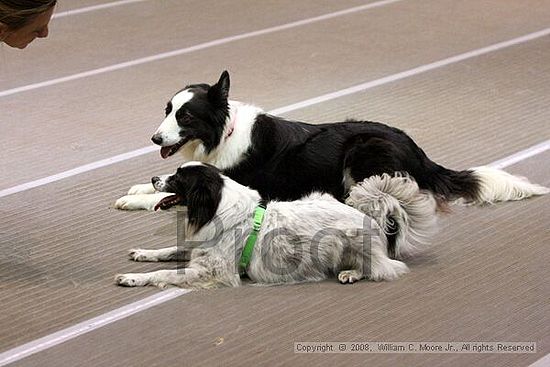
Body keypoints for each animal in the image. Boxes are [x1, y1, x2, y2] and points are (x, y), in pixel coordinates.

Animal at [114, 71, 548, 213]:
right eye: (167, 109)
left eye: (185, 116)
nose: (154, 137)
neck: (225, 133)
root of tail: (419, 151)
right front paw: (138, 187)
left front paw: (136, 199)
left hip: (363, 146)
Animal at [116, 162, 440, 288]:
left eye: (177, 179)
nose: (154, 179)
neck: (216, 208)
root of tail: (367, 215)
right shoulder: (197, 250)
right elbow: (167, 252)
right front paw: (142, 254)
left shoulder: (212, 271)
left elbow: (165, 273)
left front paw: (132, 278)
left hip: (348, 245)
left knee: (383, 267)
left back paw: (351, 273)